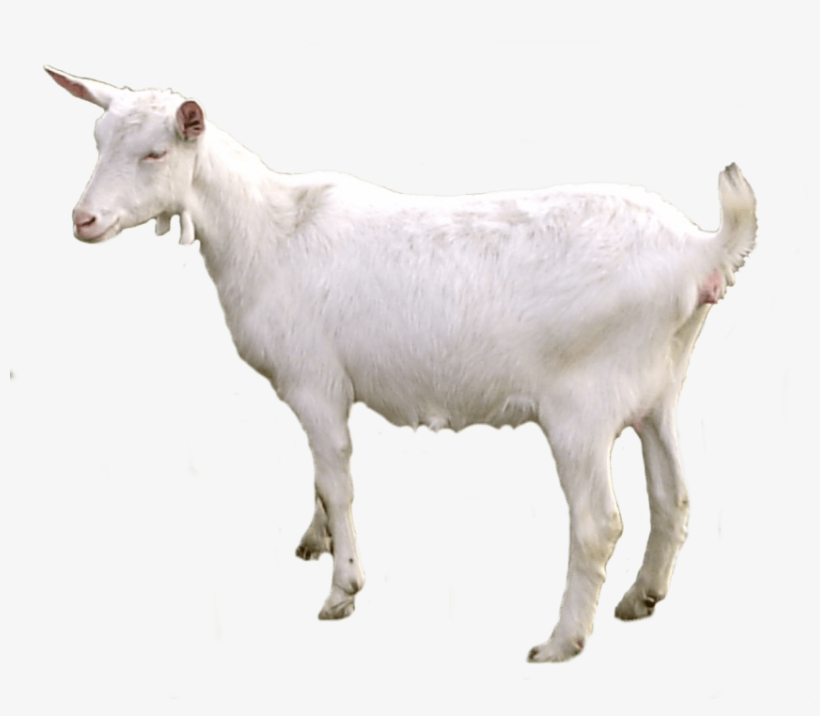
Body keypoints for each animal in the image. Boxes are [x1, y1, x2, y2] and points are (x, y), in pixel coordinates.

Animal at [46, 66, 756, 662]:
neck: (268, 231)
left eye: (155, 154)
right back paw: (641, 598)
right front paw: (316, 541)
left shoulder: (315, 380)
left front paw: (343, 589)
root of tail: (700, 250)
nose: (83, 219)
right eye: (97, 139)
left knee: (598, 524)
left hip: (581, 407)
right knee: (673, 497)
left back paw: (560, 642)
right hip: (659, 390)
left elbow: (337, 479)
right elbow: (321, 477)